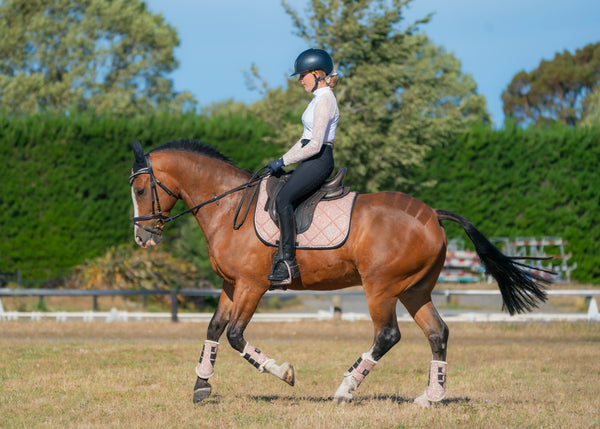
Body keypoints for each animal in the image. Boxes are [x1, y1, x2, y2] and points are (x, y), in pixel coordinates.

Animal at [129, 139, 552, 406]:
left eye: (139, 190)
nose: (142, 236)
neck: (228, 205)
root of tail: (432, 214)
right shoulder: (231, 285)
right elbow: (214, 330)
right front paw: (201, 386)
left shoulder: (251, 285)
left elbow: (234, 335)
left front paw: (284, 372)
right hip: (415, 290)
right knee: (437, 333)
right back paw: (430, 398)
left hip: (381, 288)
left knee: (387, 335)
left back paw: (346, 389)